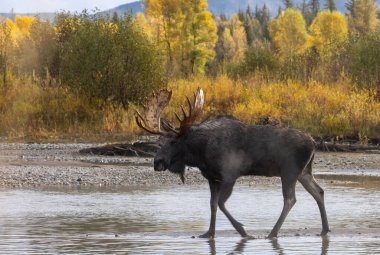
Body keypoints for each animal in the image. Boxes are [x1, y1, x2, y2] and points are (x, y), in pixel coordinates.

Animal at [136, 87, 330, 239]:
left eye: (173, 141)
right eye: (160, 141)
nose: (157, 161)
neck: (200, 153)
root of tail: (313, 143)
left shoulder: (230, 174)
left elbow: (221, 203)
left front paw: (243, 231)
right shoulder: (212, 177)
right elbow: (213, 204)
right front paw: (209, 233)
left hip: (289, 171)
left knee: (290, 199)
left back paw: (272, 233)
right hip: (304, 172)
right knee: (318, 191)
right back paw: (325, 229)